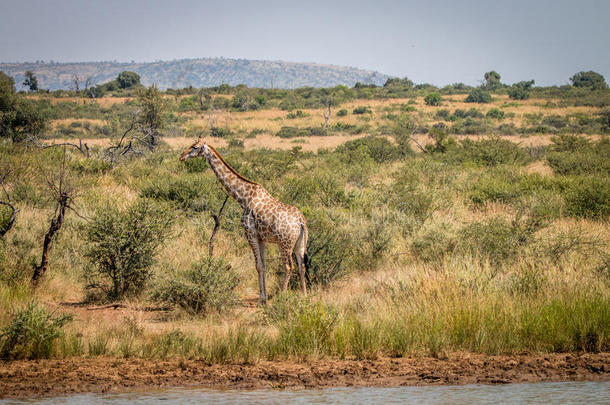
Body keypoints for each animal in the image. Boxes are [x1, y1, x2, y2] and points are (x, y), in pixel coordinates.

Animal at [178, 137, 306, 302]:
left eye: (195, 147)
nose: (181, 156)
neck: (243, 197)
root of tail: (301, 221)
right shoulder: (261, 238)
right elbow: (263, 265)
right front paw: (263, 297)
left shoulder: (250, 233)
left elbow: (258, 265)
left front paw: (262, 298)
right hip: (299, 244)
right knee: (302, 266)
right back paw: (305, 295)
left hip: (284, 243)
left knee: (289, 266)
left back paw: (282, 297)